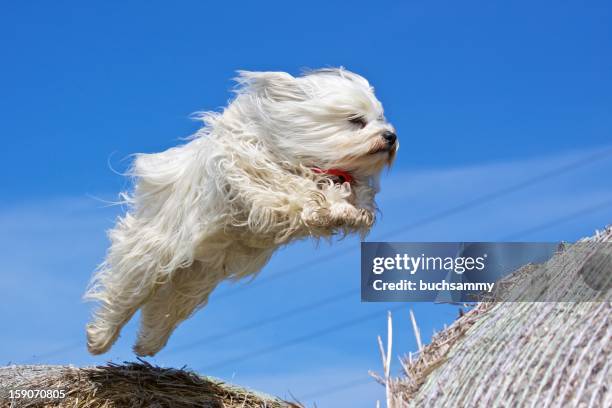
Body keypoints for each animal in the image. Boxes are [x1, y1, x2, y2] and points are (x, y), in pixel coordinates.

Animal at [85, 68, 396, 356]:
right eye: (356, 120)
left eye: (380, 119)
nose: (391, 136)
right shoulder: (251, 173)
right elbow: (291, 188)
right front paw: (327, 202)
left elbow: (350, 196)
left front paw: (352, 210)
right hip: (154, 252)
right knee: (127, 291)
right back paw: (99, 338)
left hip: (194, 277)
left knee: (166, 307)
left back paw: (147, 344)